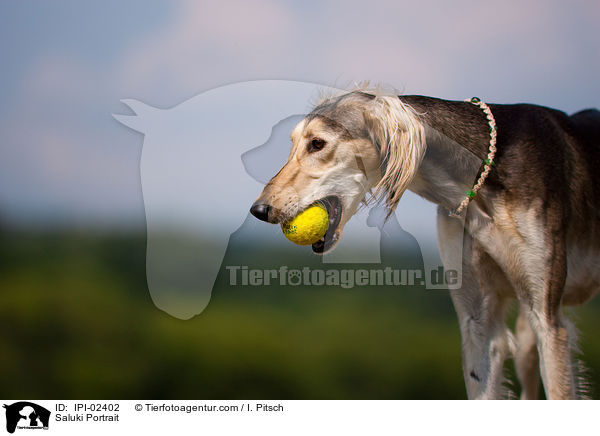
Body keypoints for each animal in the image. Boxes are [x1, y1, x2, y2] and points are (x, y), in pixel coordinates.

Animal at [248, 90, 600, 400]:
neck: (478, 183)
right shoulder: (478, 322)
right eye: (293, 144)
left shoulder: (548, 320)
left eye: (317, 143)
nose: (260, 210)